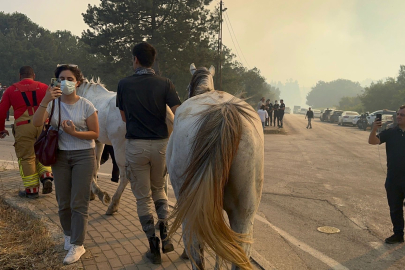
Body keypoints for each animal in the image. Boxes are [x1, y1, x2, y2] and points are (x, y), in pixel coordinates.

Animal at [76, 78, 173, 215]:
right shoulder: (99, 142)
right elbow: (96, 165)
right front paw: (92, 193)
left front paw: (99, 193)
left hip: (121, 148)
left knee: (125, 176)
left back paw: (113, 205)